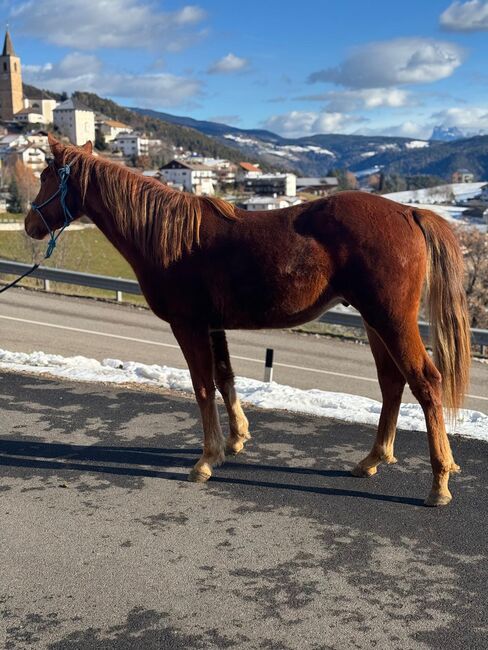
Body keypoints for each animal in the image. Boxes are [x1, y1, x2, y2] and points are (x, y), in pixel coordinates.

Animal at [24, 134, 470, 504]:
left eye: (46, 175)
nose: (29, 224)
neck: (168, 237)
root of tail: (408, 211)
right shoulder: (213, 326)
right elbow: (225, 378)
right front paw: (235, 440)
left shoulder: (188, 326)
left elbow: (202, 387)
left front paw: (207, 459)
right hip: (374, 322)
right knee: (392, 383)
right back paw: (373, 459)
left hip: (391, 321)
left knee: (425, 382)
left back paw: (439, 482)